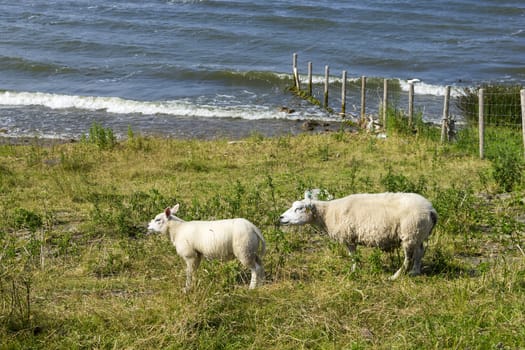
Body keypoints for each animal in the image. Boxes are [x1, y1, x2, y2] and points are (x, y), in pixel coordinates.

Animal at [278, 191, 438, 278]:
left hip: (410, 232)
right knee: (420, 252)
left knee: (408, 258)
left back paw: (395, 276)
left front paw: (354, 271)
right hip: (418, 234)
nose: (281, 217)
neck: (328, 213)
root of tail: (431, 210)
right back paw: (415, 272)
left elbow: (353, 256)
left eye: (299, 208)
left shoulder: (348, 237)